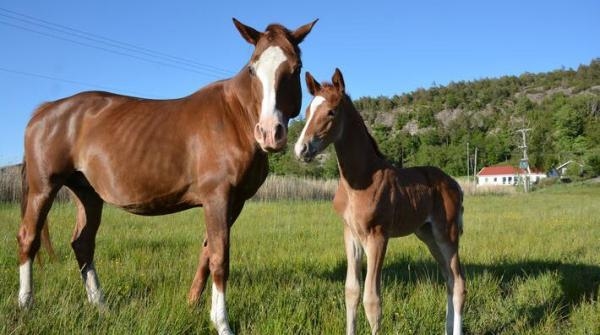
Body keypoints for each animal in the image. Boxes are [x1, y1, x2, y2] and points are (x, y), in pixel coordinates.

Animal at [18, 18, 316, 335]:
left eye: (295, 67)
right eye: (252, 68)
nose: (270, 133)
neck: (235, 118)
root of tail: (46, 110)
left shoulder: (234, 203)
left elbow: (207, 254)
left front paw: (194, 307)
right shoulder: (217, 198)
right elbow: (220, 258)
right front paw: (222, 323)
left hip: (87, 193)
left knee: (83, 244)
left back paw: (101, 307)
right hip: (43, 187)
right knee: (29, 238)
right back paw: (26, 305)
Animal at [296, 69, 468, 335]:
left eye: (331, 112)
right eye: (307, 111)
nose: (301, 149)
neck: (360, 180)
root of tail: (455, 184)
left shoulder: (377, 237)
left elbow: (372, 301)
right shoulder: (350, 235)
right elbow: (352, 292)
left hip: (447, 234)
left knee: (458, 283)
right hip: (427, 235)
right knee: (449, 279)